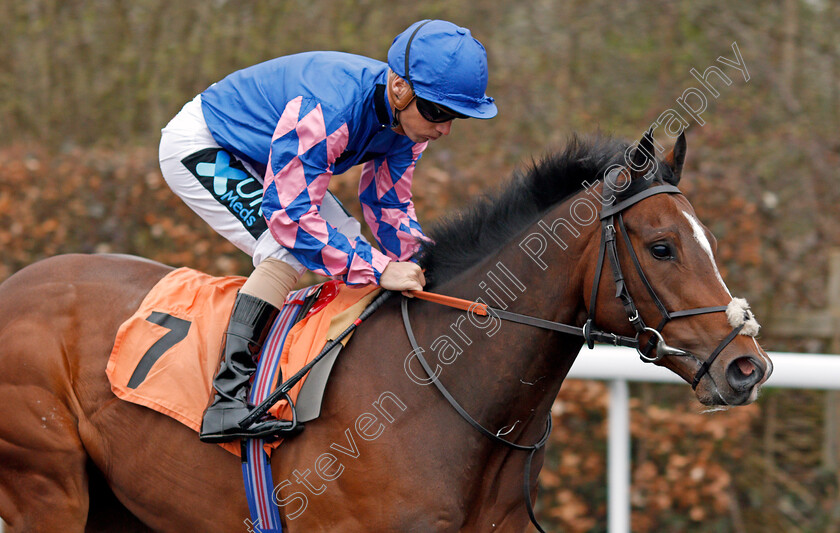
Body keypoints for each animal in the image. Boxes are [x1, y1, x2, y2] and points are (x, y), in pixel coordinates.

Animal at [0, 131, 776, 528]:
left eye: (707, 241)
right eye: (663, 247)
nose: (748, 366)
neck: (441, 394)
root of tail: (16, 284)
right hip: (47, 483)